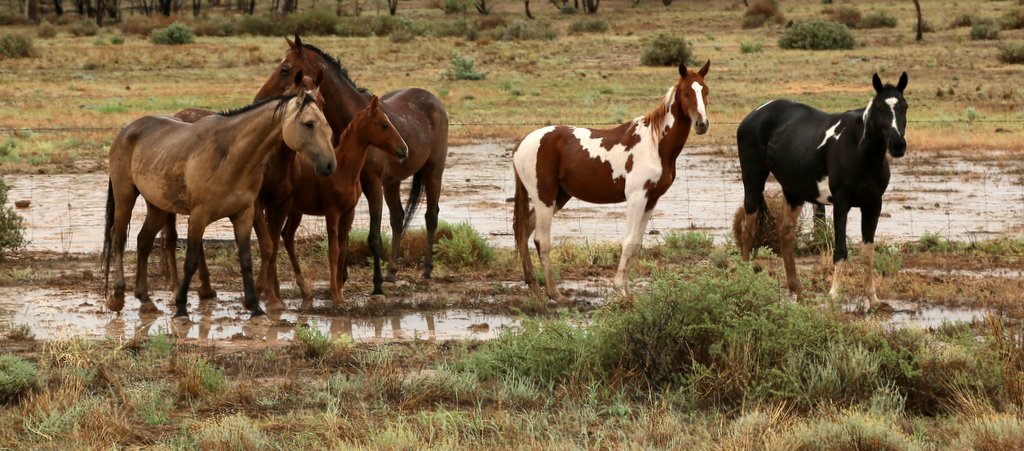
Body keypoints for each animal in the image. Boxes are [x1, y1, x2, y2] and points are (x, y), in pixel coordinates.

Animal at [102, 90, 337, 319]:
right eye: (309, 123)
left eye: (327, 124)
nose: (330, 165)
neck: (230, 157)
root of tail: (126, 131)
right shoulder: (199, 216)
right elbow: (191, 261)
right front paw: (181, 307)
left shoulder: (244, 214)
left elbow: (246, 259)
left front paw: (255, 307)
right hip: (125, 198)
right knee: (119, 239)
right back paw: (117, 296)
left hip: (157, 206)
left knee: (143, 242)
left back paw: (145, 300)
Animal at [262, 96, 409, 307]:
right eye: (384, 124)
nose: (404, 150)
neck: (344, 169)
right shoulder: (332, 213)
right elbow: (333, 251)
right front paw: (334, 293)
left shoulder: (349, 213)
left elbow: (343, 249)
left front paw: (340, 291)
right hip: (277, 208)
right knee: (272, 241)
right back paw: (274, 293)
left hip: (295, 211)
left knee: (285, 237)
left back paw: (298, 290)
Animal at [512, 61, 712, 302]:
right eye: (686, 93)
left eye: (705, 91)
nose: (702, 124)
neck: (655, 144)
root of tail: (521, 145)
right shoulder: (636, 197)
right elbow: (629, 241)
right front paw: (619, 290)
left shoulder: (651, 199)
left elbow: (636, 243)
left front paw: (627, 292)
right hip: (545, 197)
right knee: (541, 240)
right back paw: (554, 294)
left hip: (559, 197)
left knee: (524, 231)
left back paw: (534, 287)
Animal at [735, 72, 908, 308]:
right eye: (881, 108)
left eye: (904, 106)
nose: (898, 145)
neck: (859, 151)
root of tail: (752, 116)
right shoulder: (841, 204)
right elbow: (840, 250)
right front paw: (834, 294)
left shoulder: (873, 205)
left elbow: (868, 252)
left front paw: (873, 299)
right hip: (753, 182)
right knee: (748, 230)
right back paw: (746, 280)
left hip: (793, 192)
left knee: (785, 233)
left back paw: (797, 290)